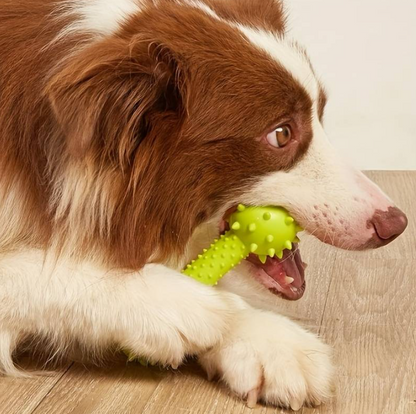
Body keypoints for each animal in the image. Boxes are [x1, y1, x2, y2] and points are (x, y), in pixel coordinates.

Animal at [0, 0, 410, 410]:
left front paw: (264, 336)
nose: (394, 224)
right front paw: (177, 304)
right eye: (281, 134)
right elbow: (36, 267)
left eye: (320, 114)